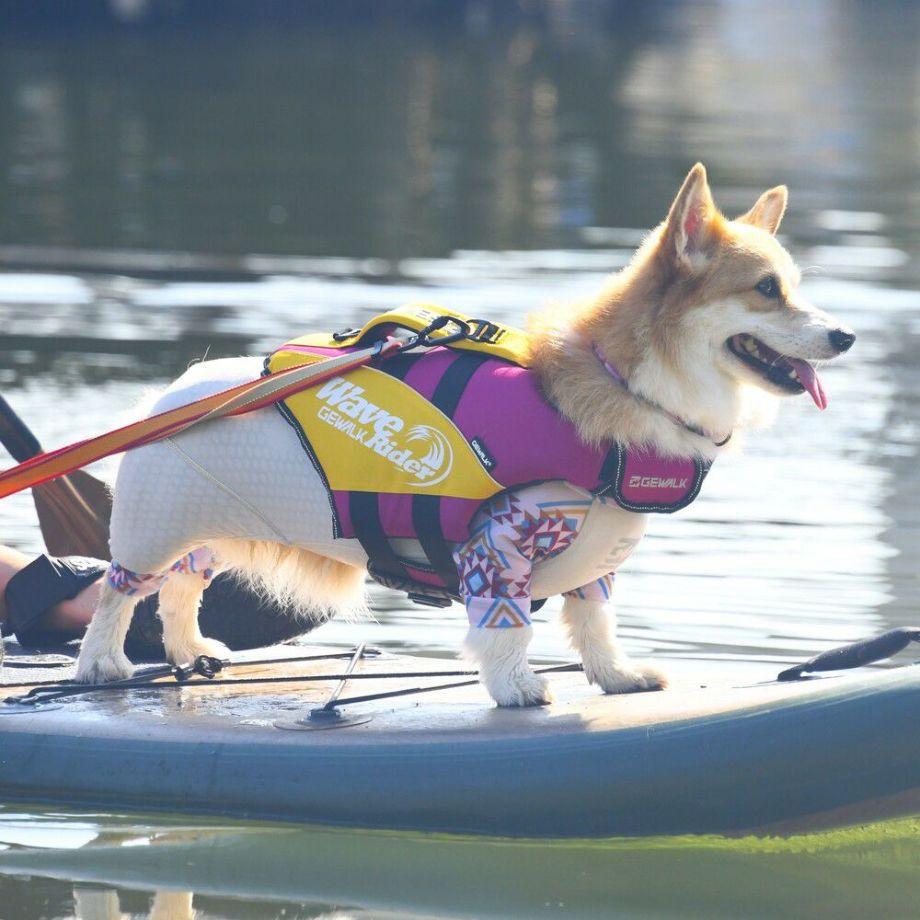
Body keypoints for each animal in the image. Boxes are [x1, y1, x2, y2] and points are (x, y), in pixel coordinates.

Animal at [77, 165, 856, 708]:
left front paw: (616, 676)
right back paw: (101, 664)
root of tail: (173, 393)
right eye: (766, 290)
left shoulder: (598, 556)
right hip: (153, 529)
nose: (845, 335)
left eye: (793, 285)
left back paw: (188, 649)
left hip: (206, 535)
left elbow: (595, 624)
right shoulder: (499, 543)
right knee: (119, 593)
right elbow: (507, 626)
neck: (627, 382)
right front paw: (516, 688)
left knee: (182, 588)